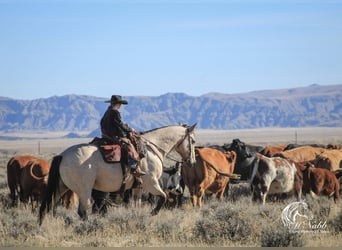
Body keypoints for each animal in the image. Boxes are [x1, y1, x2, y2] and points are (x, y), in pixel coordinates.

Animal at [38, 124, 196, 224]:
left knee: (47, 206)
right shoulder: (151, 183)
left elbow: (136, 204)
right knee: (82, 211)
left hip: (61, 186)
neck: (151, 148)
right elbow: (163, 198)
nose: (192, 161)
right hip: (84, 190)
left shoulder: (138, 187)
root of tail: (62, 156)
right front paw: (152, 214)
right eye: (193, 141)